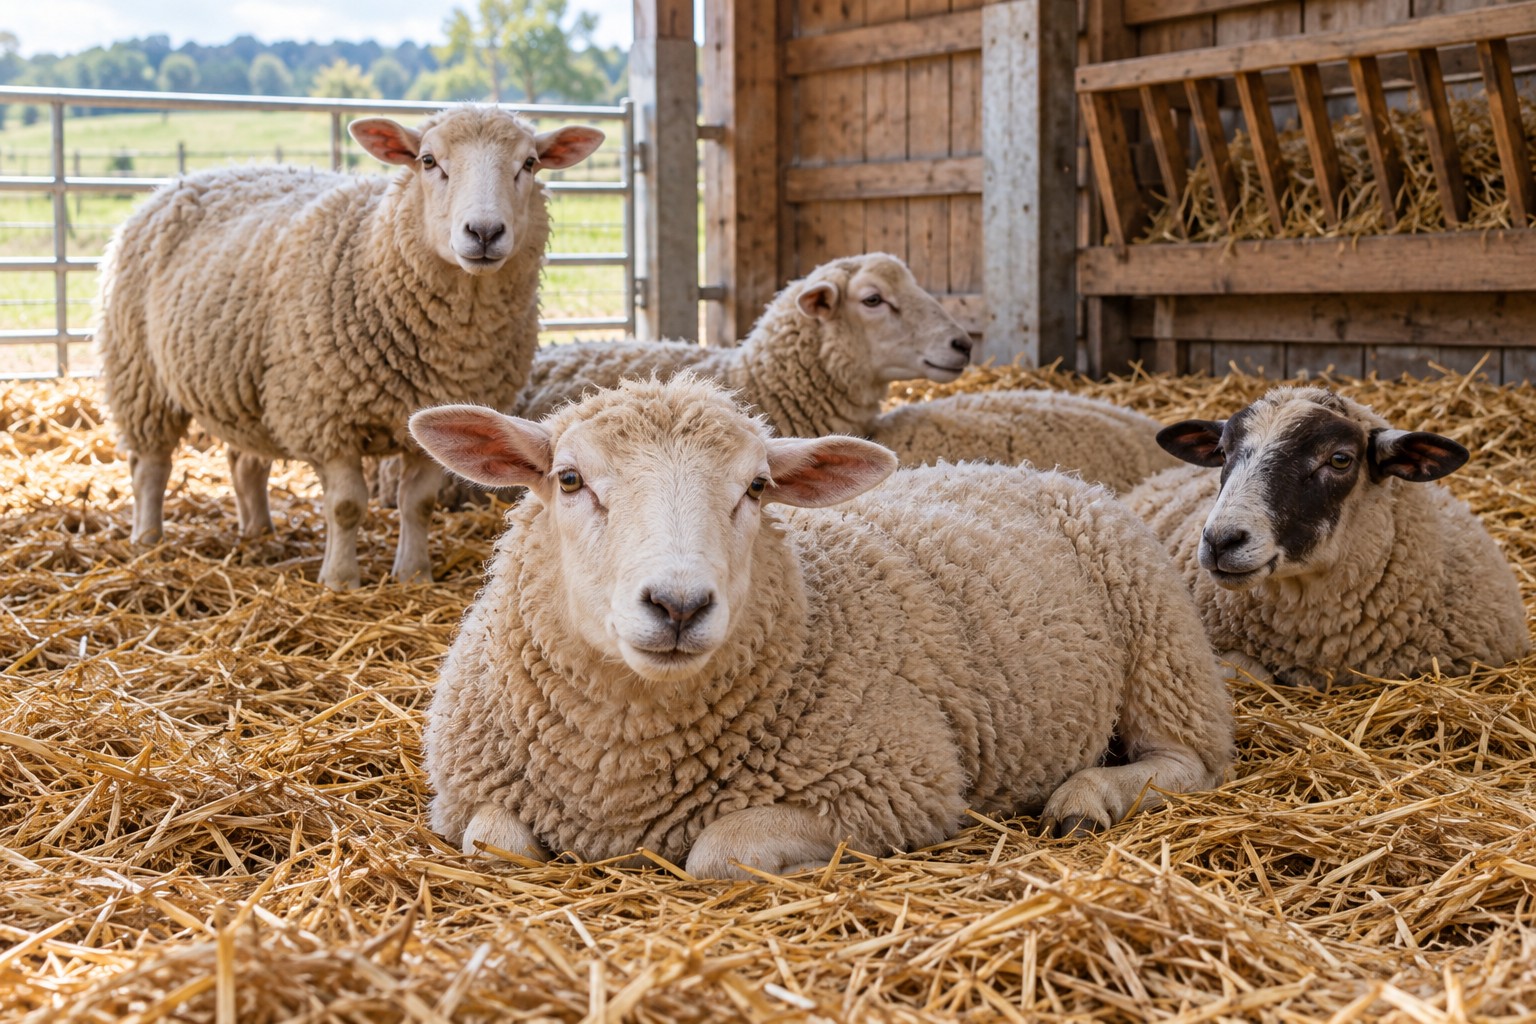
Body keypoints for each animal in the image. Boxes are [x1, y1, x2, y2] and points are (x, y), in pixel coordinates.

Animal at [95, 104, 604, 589]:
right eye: (428, 160)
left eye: (530, 163)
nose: (483, 233)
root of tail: (181, 182)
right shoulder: (325, 416)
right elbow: (346, 506)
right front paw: (340, 580)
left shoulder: (435, 420)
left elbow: (418, 503)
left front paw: (413, 574)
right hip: (139, 373)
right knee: (150, 467)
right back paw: (148, 538)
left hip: (245, 389)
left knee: (245, 464)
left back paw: (258, 530)